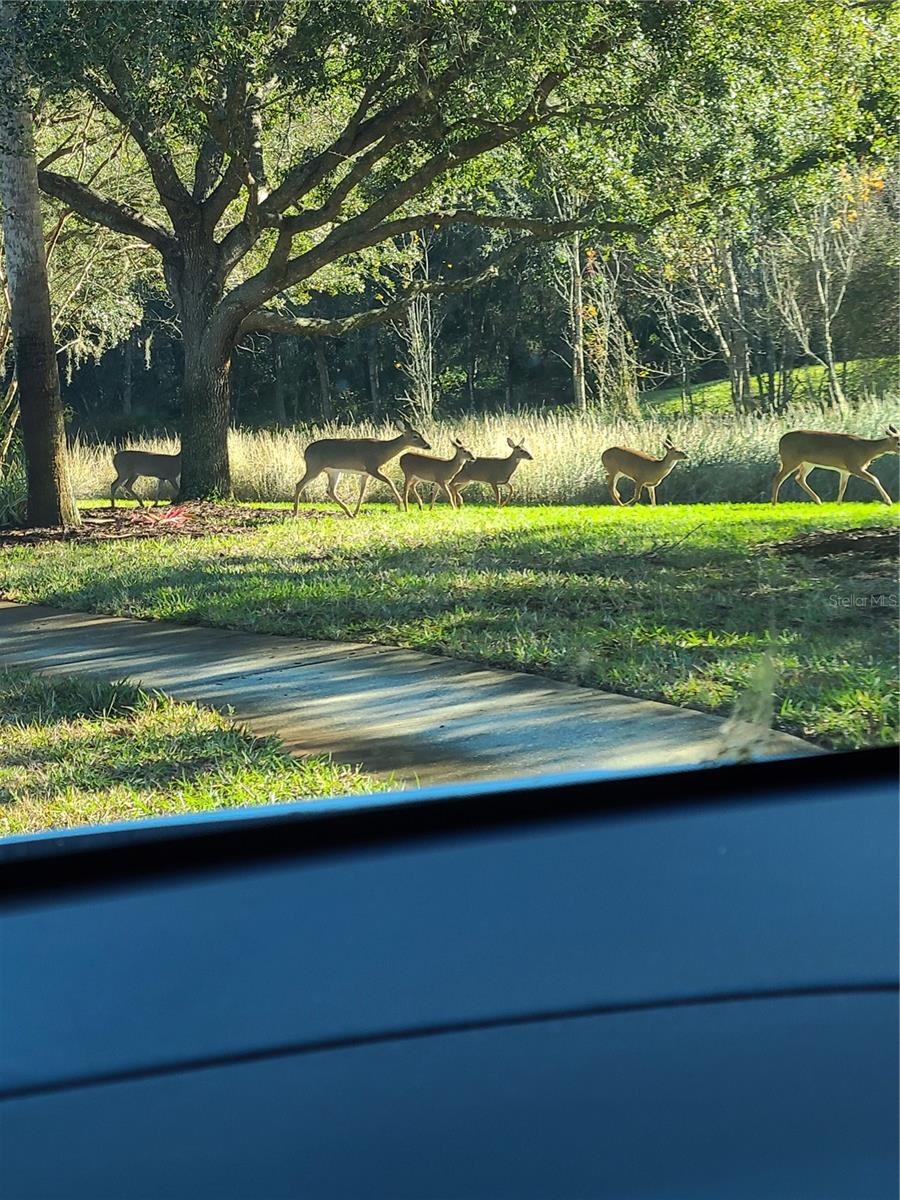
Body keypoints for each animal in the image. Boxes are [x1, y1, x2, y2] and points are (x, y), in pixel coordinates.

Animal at [292, 419, 430, 518]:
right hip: (314, 467)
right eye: (415, 436)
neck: (382, 451)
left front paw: (356, 512)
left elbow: (362, 492)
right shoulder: (371, 467)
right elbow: (389, 481)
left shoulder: (365, 473)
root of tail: (305, 452)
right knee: (299, 484)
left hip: (333, 471)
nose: (428, 446)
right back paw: (295, 513)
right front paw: (400, 504)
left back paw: (349, 513)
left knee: (330, 490)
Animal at [771, 426, 900, 505]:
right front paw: (888, 502)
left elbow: (842, 487)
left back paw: (818, 501)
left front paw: (838, 504)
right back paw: (774, 503)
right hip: (790, 459)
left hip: (807, 463)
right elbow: (874, 478)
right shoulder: (854, 465)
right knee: (778, 478)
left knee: (799, 478)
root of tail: (780, 441)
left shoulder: (845, 471)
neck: (866, 450)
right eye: (898, 443)